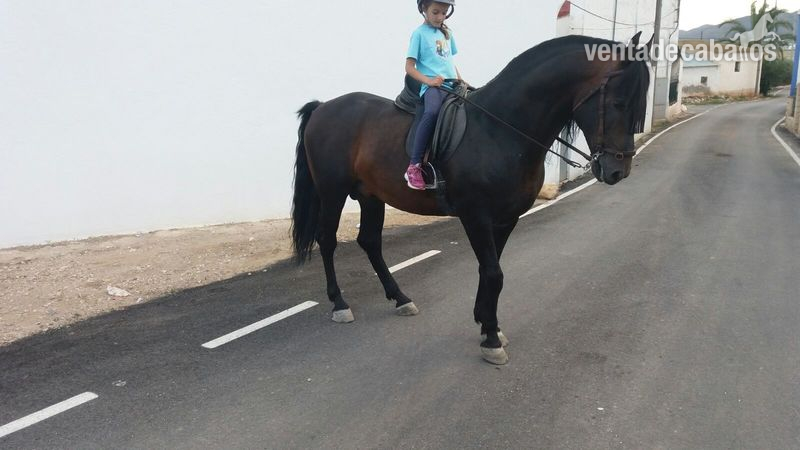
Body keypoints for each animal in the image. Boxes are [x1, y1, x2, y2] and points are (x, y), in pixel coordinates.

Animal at [291, 32, 652, 365]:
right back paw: (340, 304)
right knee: (327, 240)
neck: (500, 129)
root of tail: (323, 107)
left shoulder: (506, 218)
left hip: (371, 196)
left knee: (369, 242)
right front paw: (491, 338)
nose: (618, 170)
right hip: (332, 192)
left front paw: (486, 323)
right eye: (619, 103)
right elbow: (493, 273)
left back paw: (400, 298)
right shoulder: (476, 216)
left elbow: (490, 271)